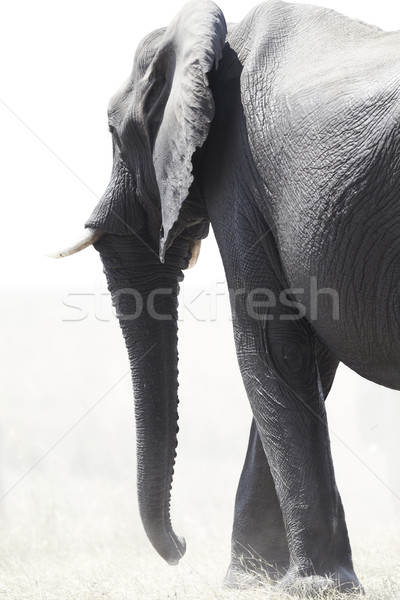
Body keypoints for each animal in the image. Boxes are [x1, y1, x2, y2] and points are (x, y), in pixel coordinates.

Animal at [53, 0, 400, 592]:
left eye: (113, 133)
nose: (181, 546)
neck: (217, 35)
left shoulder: (238, 171)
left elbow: (271, 346)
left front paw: (312, 588)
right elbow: (307, 357)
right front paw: (248, 582)